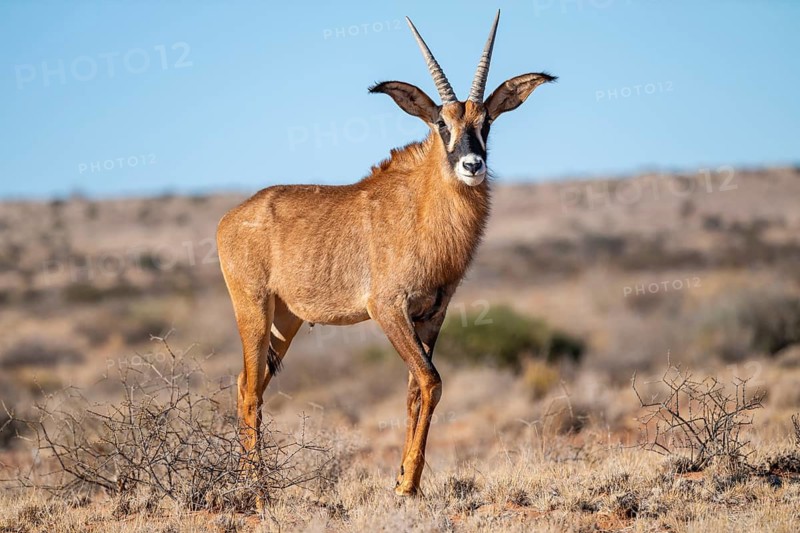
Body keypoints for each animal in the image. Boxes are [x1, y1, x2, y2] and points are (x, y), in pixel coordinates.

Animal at [216, 10, 555, 497]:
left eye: (487, 121)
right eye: (441, 124)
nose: (473, 165)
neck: (421, 207)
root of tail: (231, 218)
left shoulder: (431, 315)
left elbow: (416, 390)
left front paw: (406, 482)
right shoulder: (388, 309)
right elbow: (432, 381)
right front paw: (405, 484)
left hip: (286, 319)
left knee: (253, 382)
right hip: (254, 309)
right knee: (247, 388)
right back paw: (252, 486)